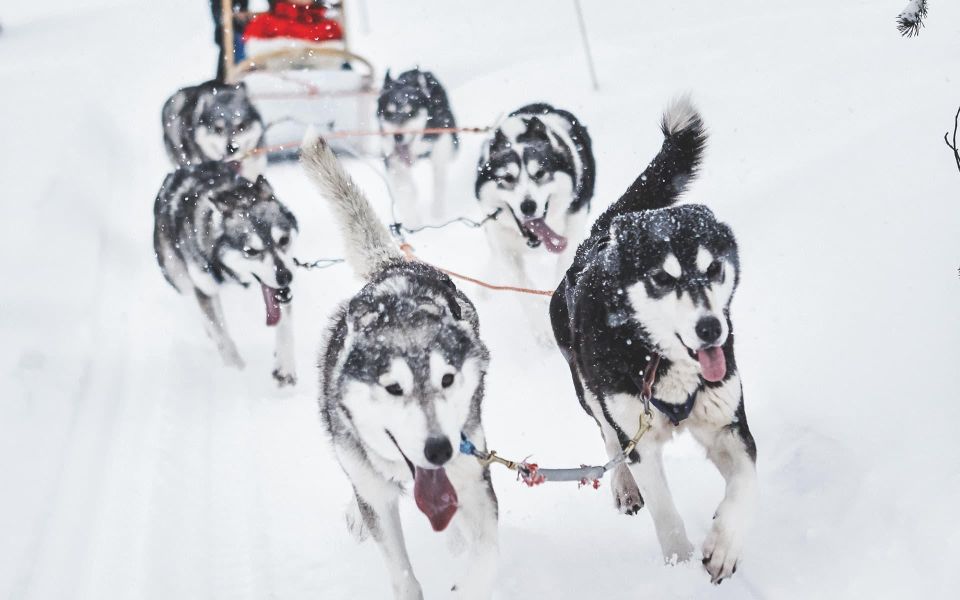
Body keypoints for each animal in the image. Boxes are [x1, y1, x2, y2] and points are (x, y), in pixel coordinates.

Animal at [154, 163, 298, 384]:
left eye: (283, 240)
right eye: (251, 251)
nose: (285, 276)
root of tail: (185, 167)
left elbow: (285, 324)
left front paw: (285, 365)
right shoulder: (204, 288)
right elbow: (221, 334)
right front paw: (236, 371)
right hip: (179, 278)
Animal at [304, 137, 498, 600]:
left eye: (447, 379)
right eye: (394, 388)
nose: (439, 449)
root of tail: (395, 267)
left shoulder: (473, 476)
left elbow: (486, 556)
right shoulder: (379, 499)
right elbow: (402, 575)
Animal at [376, 69, 460, 220]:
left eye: (411, 113)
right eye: (389, 113)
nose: (397, 136)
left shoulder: (440, 151)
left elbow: (438, 185)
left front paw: (437, 215)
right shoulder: (393, 161)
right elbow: (405, 192)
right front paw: (413, 220)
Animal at [476, 103, 596, 288]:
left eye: (540, 173)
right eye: (508, 178)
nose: (528, 206)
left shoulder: (573, 228)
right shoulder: (502, 243)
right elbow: (520, 282)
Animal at [552, 97, 752, 580]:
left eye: (713, 268)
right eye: (663, 277)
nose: (710, 328)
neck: (655, 357)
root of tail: (601, 234)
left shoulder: (727, 424)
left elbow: (746, 484)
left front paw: (724, 544)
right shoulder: (637, 436)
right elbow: (665, 511)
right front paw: (678, 566)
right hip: (589, 392)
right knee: (608, 437)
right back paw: (623, 486)